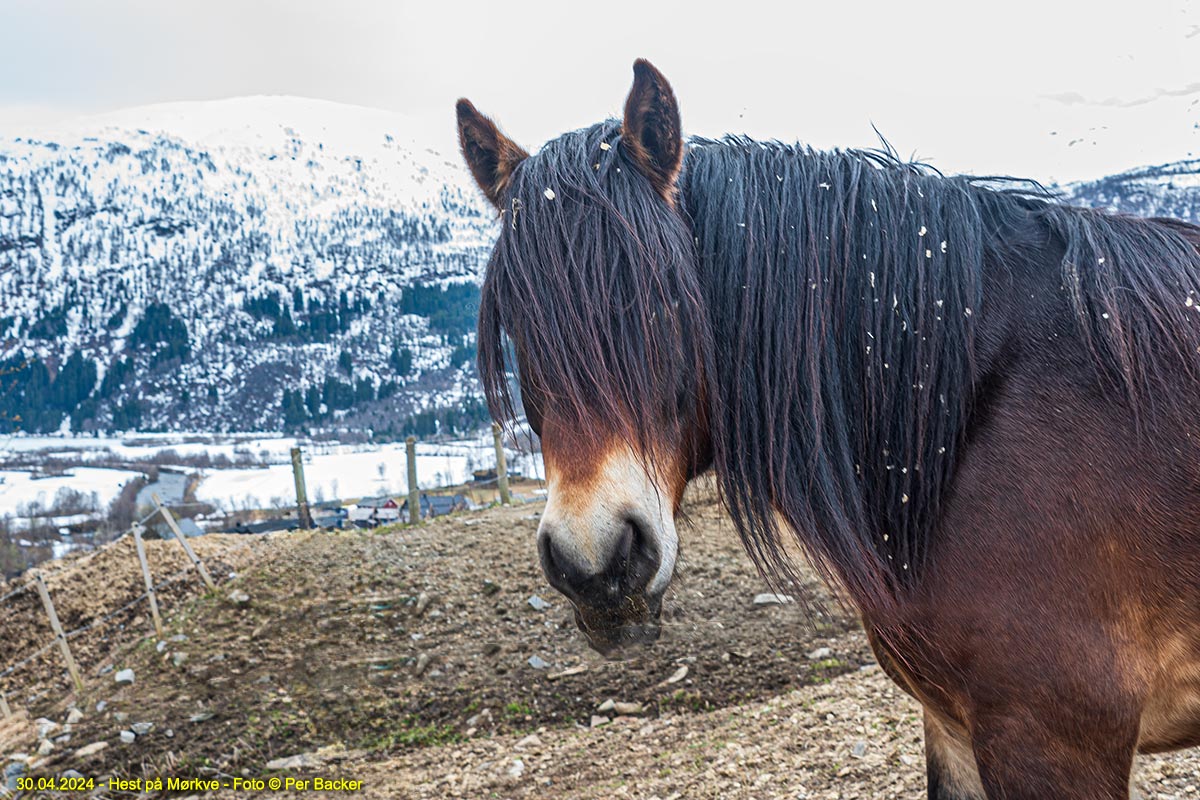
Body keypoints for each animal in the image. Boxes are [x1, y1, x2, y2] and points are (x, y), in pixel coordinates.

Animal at [451, 59, 1200, 796]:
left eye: (668, 298)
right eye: (516, 322)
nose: (596, 563)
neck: (958, 417)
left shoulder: (1053, 738)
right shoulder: (953, 725)